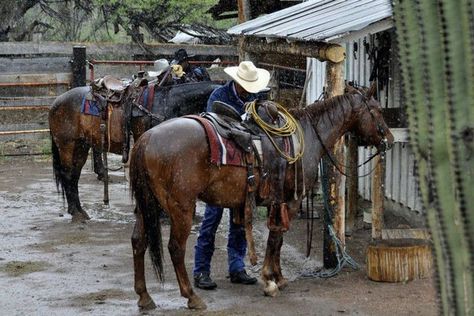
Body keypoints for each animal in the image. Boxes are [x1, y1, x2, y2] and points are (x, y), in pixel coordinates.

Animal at [49, 80, 219, 221]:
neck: (166, 104)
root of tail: (56, 102)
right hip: (67, 144)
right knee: (68, 174)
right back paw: (76, 213)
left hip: (81, 146)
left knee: (74, 175)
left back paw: (78, 210)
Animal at [128, 90, 394, 310]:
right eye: (377, 111)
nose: (389, 140)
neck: (306, 136)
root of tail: (146, 139)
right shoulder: (289, 201)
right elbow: (275, 238)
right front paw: (270, 280)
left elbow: (276, 239)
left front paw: (278, 277)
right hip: (180, 207)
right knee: (175, 247)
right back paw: (192, 296)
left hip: (145, 206)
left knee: (138, 241)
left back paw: (144, 297)